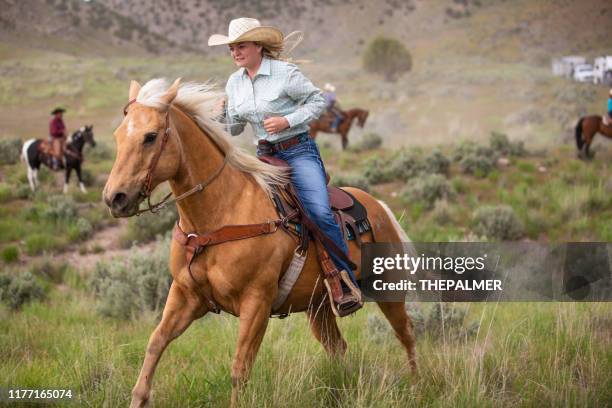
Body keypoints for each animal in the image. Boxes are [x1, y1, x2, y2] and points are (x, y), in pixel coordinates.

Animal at [103, 78, 416, 406]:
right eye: (118, 136)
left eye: (150, 137)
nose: (115, 197)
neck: (219, 215)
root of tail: (379, 207)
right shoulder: (185, 295)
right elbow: (156, 342)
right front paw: (138, 398)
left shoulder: (256, 303)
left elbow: (240, 368)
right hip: (318, 307)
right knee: (338, 347)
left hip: (389, 291)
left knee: (406, 334)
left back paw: (417, 386)